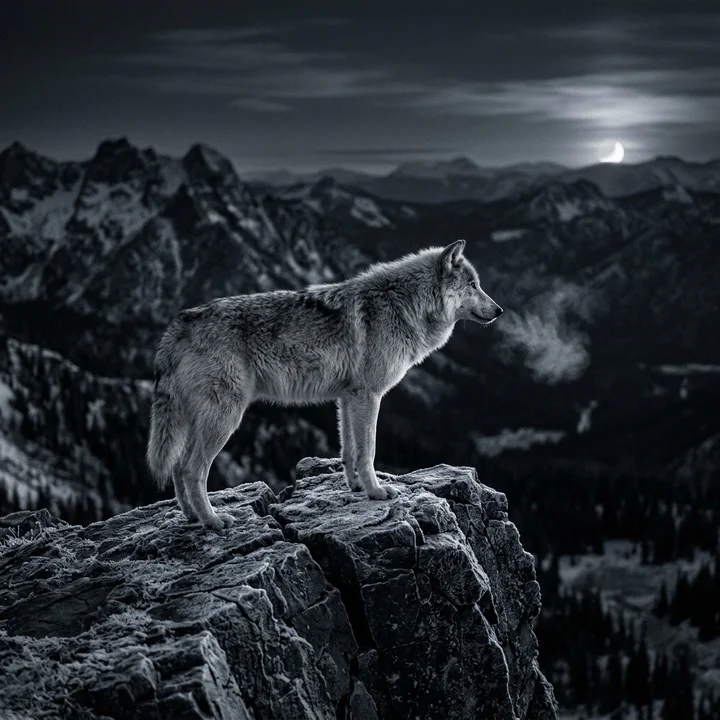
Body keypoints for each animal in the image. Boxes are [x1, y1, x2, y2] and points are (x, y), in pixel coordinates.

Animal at [146, 240, 503, 529]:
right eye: (473, 285)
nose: (499, 310)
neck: (405, 304)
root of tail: (178, 324)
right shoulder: (369, 396)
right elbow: (369, 450)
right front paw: (377, 492)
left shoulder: (347, 398)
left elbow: (349, 451)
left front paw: (356, 488)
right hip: (225, 419)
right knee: (191, 469)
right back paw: (213, 520)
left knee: (178, 466)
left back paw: (191, 516)